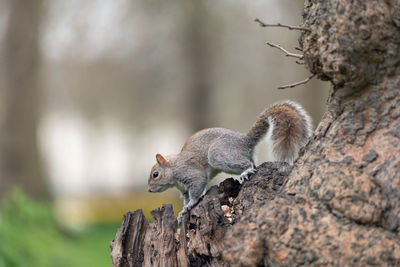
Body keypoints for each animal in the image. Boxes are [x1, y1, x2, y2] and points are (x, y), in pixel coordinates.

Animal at [147, 100, 312, 224]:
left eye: (155, 174)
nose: (148, 190)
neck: (174, 168)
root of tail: (245, 140)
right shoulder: (184, 188)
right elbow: (187, 197)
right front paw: (182, 212)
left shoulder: (191, 173)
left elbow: (197, 189)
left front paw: (190, 205)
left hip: (219, 155)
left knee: (247, 164)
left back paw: (246, 171)